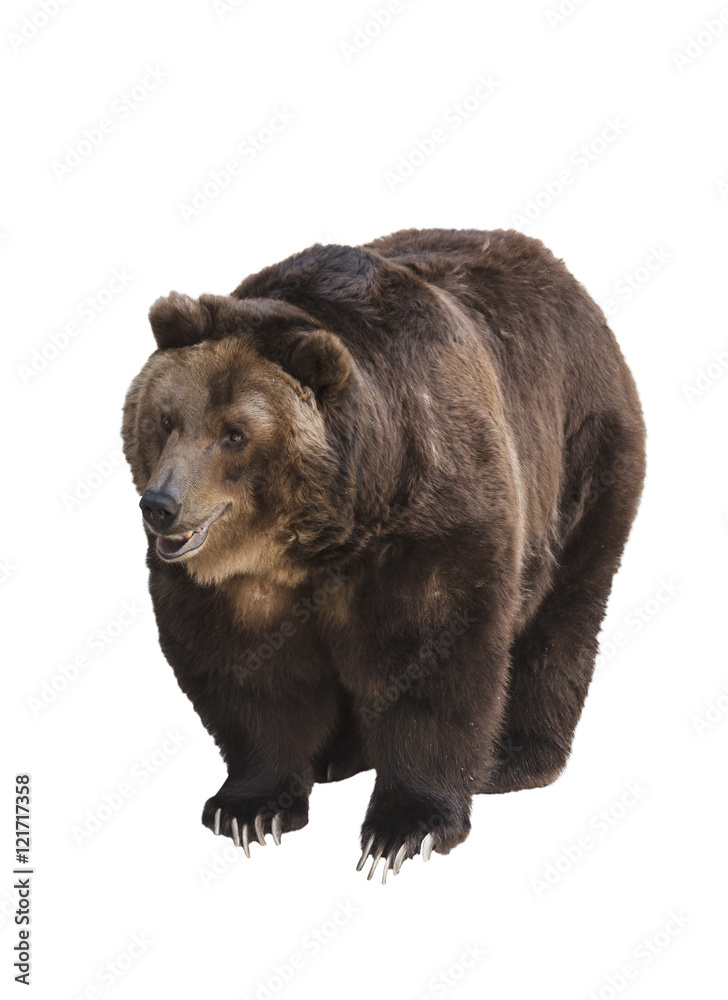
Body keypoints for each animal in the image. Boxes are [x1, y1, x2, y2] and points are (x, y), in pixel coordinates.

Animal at [122, 228, 645, 883]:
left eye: (234, 433)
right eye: (166, 419)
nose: (160, 506)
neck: (320, 535)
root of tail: (561, 273)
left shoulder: (430, 517)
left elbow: (432, 657)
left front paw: (403, 828)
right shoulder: (241, 583)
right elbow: (248, 672)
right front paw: (249, 807)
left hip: (582, 461)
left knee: (563, 614)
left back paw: (516, 758)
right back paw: (336, 757)